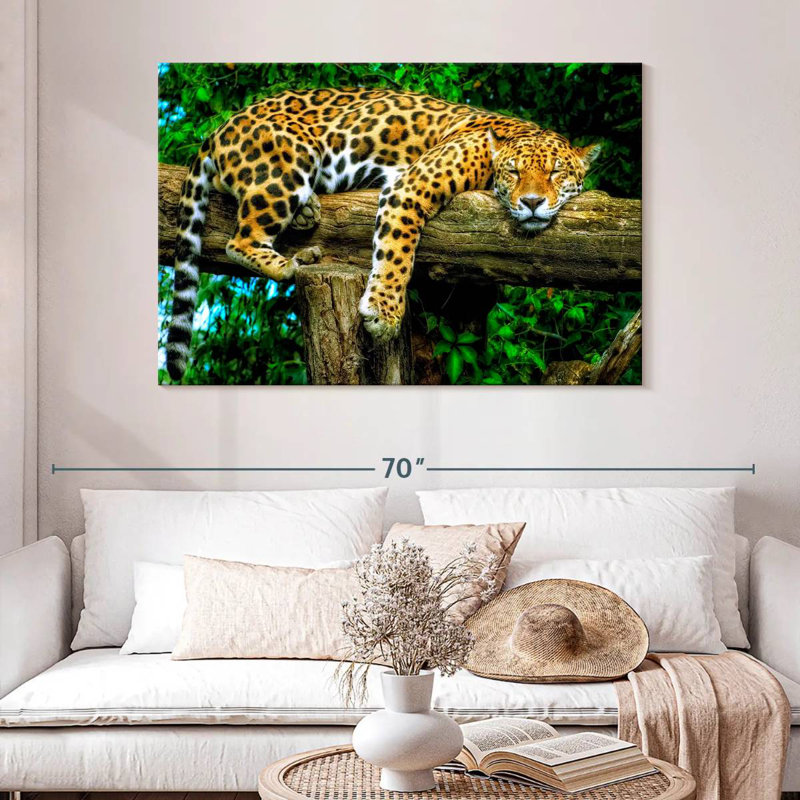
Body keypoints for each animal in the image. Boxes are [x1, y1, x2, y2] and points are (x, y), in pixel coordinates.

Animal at [166, 87, 600, 381]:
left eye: (556, 173)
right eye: (513, 172)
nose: (531, 201)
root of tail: (219, 128)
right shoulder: (410, 186)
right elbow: (397, 254)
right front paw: (384, 313)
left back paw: (306, 220)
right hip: (286, 165)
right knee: (238, 241)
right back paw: (293, 263)